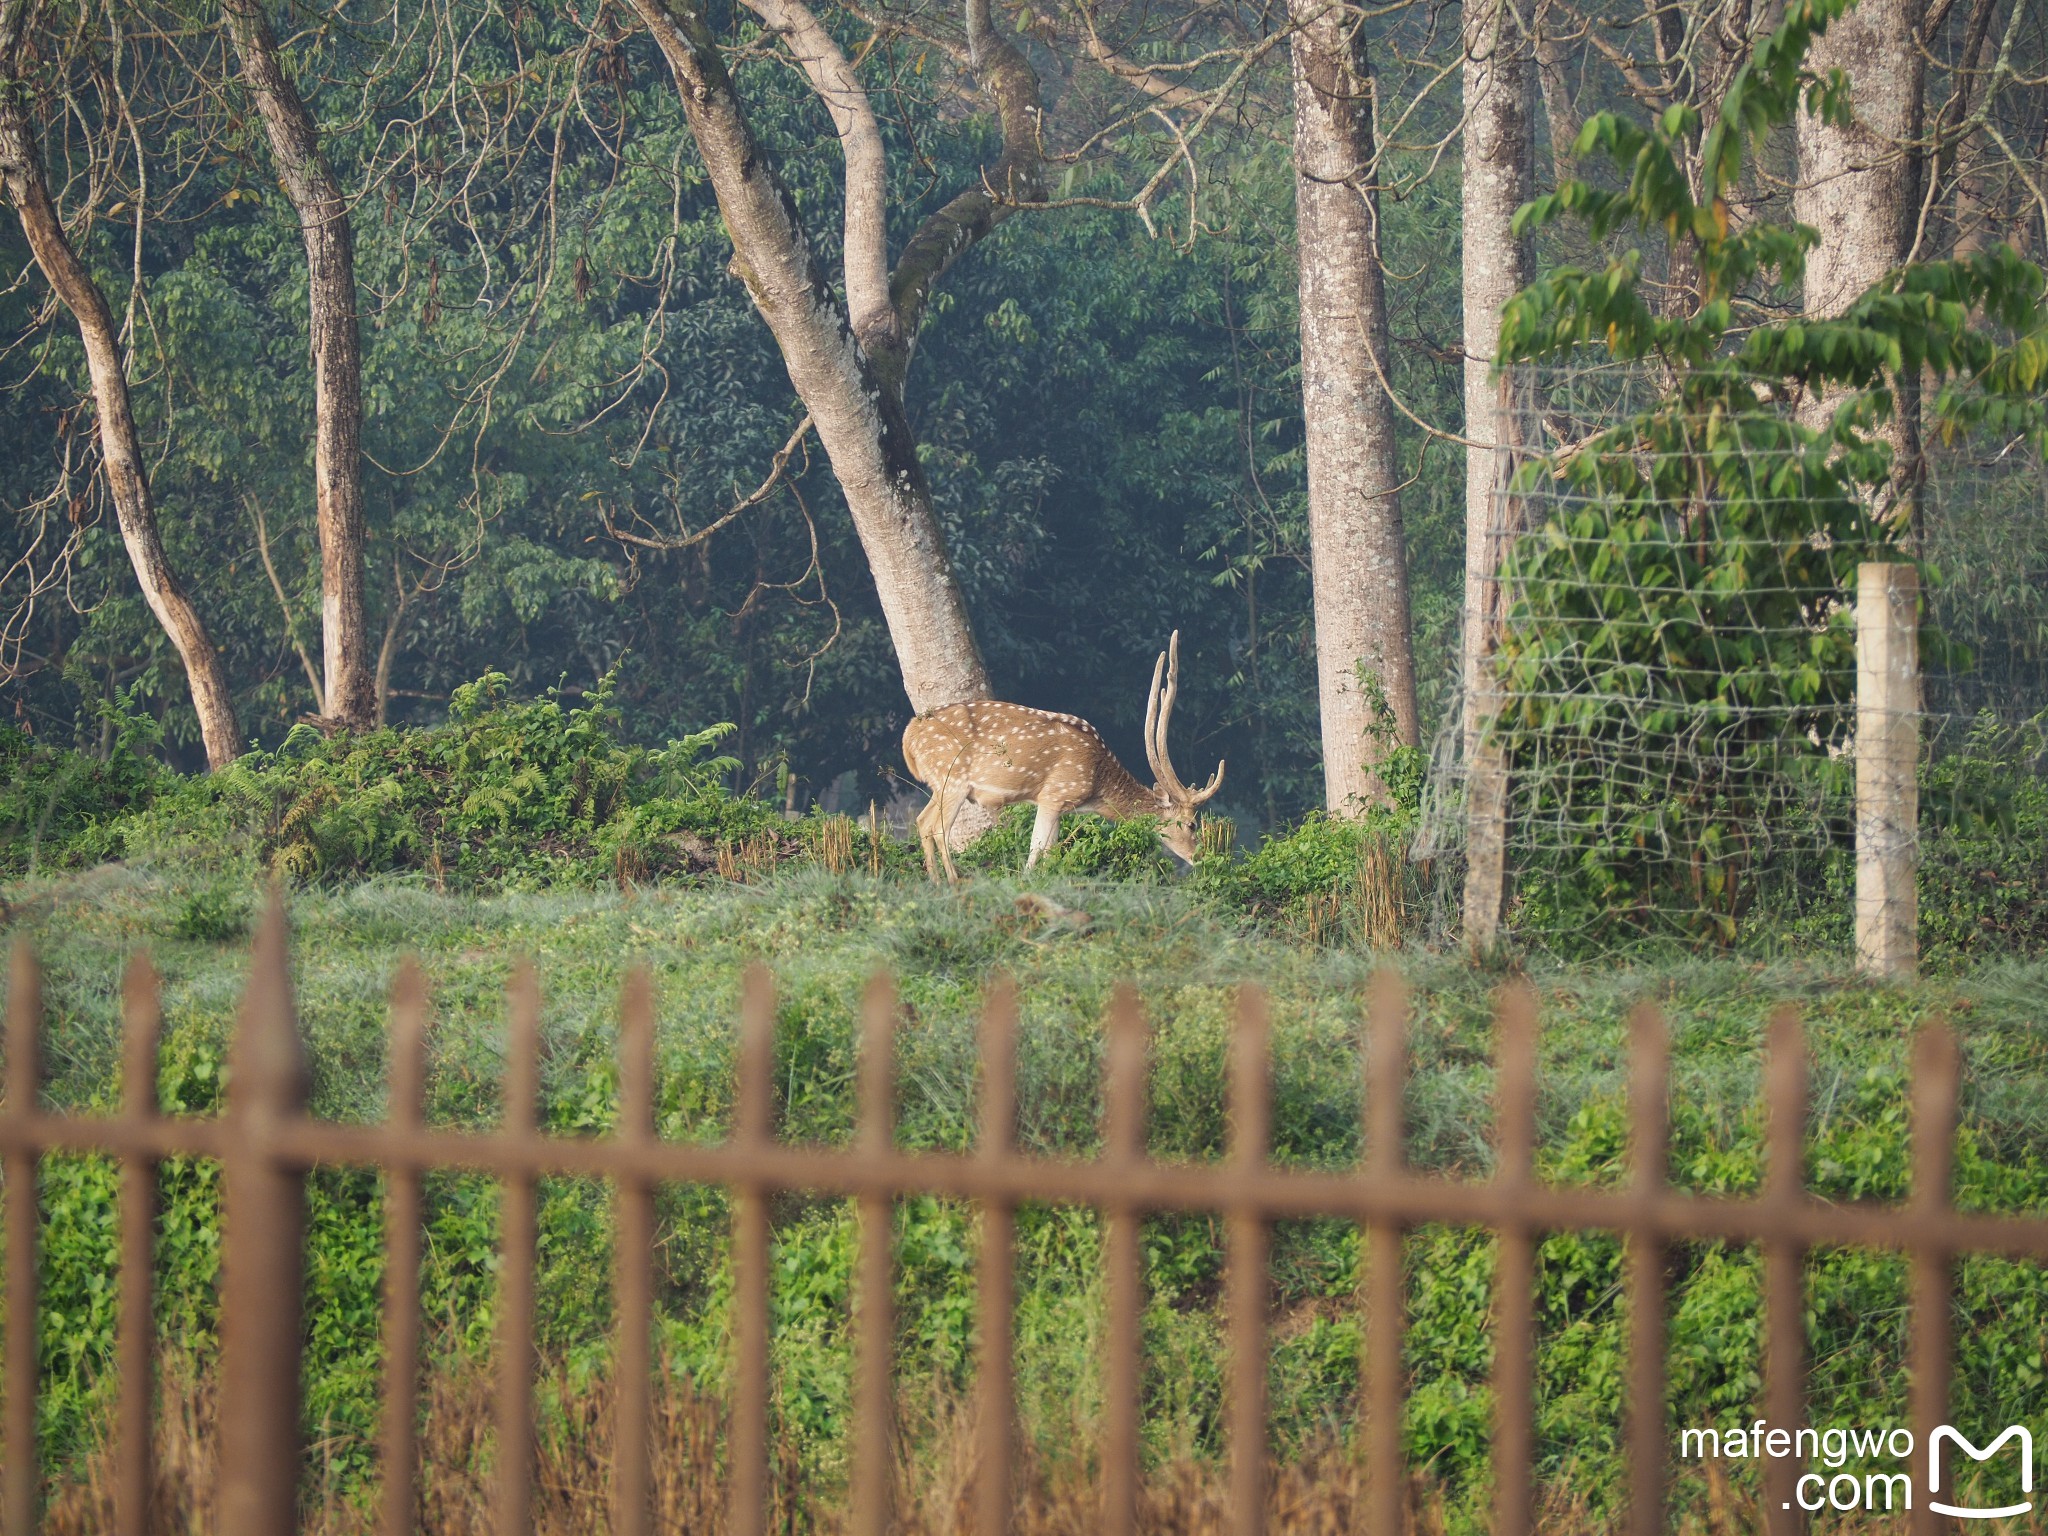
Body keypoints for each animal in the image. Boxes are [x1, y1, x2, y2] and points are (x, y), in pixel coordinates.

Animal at [905, 630, 1220, 884]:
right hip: (952, 778)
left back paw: (934, 881)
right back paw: (953, 882)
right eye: (1191, 824)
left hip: (940, 785)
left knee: (921, 821)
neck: (1097, 785)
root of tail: (909, 737)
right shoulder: (1055, 794)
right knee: (937, 828)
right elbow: (1036, 855)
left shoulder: (1055, 803)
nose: (1201, 858)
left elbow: (1047, 853)